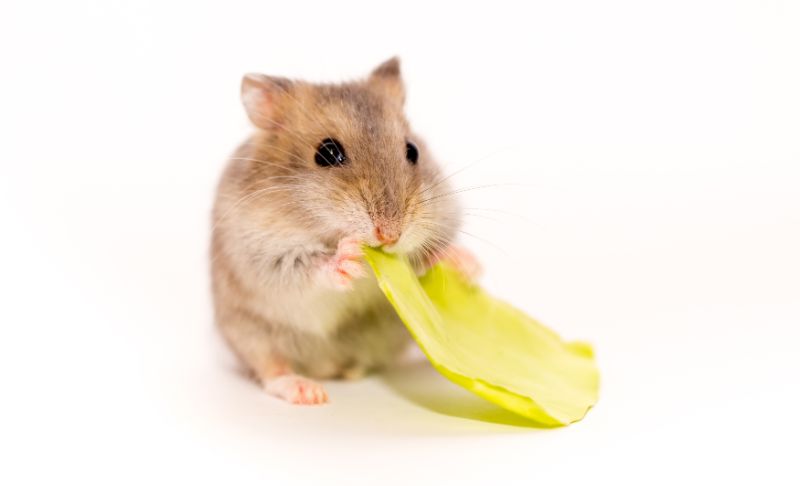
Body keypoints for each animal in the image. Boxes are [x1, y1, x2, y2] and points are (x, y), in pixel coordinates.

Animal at [209, 57, 482, 404]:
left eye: (413, 150)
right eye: (326, 153)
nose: (390, 235)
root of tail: (325, 366)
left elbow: (431, 254)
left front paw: (467, 265)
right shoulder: (261, 255)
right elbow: (306, 268)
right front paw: (348, 257)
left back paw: (352, 372)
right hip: (251, 334)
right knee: (272, 370)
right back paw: (309, 392)